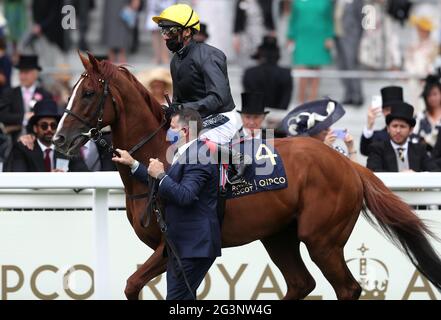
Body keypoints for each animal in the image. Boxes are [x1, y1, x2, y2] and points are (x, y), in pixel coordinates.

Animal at [53, 52, 440, 300]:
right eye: (71, 91)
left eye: (89, 92)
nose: (58, 139)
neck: (157, 157)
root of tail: (347, 163)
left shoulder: (174, 246)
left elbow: (134, 283)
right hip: (279, 236)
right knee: (301, 284)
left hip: (322, 239)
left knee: (347, 288)